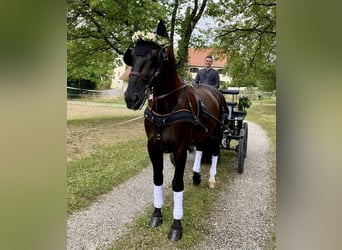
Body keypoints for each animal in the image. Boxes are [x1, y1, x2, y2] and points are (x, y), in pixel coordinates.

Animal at [123, 20, 227, 240]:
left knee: (214, 152)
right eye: (132, 55)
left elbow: (177, 183)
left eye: (156, 56)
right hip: (202, 133)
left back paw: (211, 178)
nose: (131, 98)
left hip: (216, 133)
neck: (167, 107)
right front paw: (156, 215)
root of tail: (213, 91)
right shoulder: (153, 146)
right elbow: (158, 179)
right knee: (201, 150)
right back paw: (196, 176)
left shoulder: (180, 148)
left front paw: (176, 225)